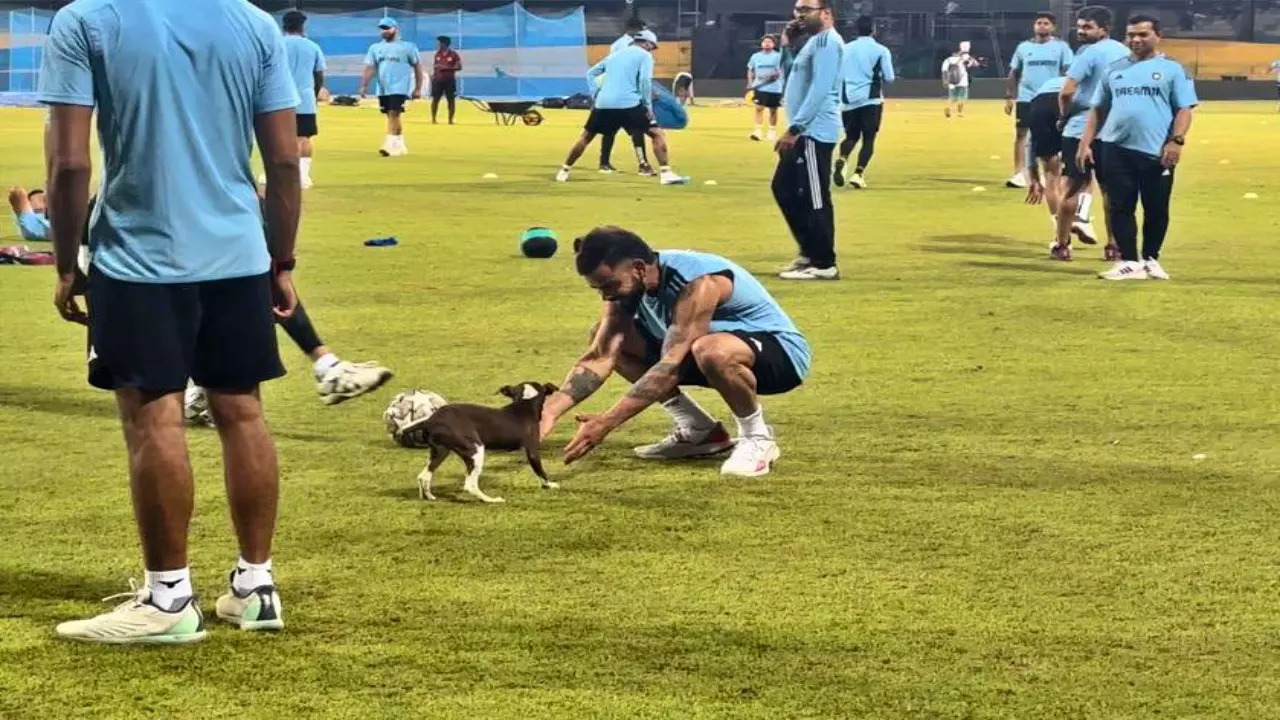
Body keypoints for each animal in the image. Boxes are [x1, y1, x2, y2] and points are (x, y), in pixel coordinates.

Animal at [417, 379, 558, 502]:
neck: (525, 405)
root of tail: (430, 421)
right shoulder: (532, 450)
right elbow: (540, 471)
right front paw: (549, 485)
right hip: (475, 450)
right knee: (470, 485)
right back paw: (492, 500)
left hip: (441, 451)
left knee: (423, 476)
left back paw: (429, 496)